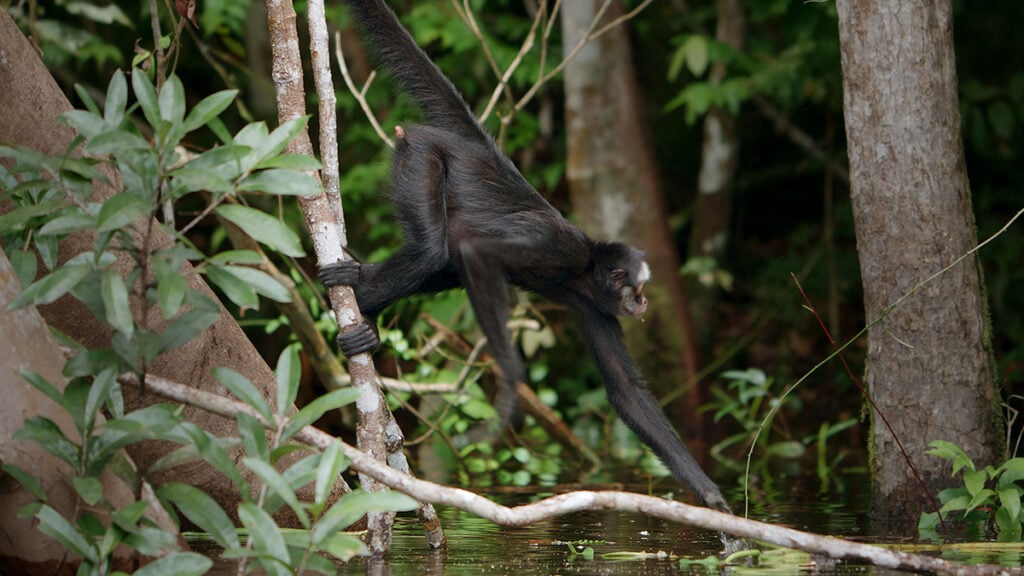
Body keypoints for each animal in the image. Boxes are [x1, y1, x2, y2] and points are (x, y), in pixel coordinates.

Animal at [321, 0, 730, 513]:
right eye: (636, 288)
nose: (643, 304)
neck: (583, 270)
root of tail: (475, 145)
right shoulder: (556, 246)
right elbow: (476, 254)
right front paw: (512, 395)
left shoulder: (591, 306)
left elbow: (626, 394)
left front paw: (712, 497)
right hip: (421, 156)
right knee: (434, 249)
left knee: (441, 263)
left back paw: (364, 305)